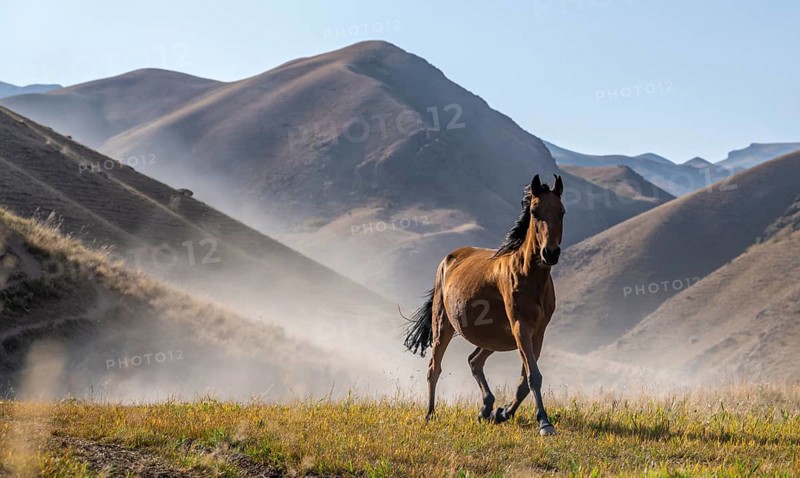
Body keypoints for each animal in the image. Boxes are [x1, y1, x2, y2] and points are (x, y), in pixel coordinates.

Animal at [403, 174, 565, 436]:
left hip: (495, 337)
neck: (529, 276)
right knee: (434, 368)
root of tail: (448, 259)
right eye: (534, 211)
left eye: (562, 212)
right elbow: (533, 376)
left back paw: (487, 408)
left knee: (474, 361)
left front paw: (503, 413)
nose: (550, 253)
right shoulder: (521, 327)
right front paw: (544, 422)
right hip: (444, 326)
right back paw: (430, 414)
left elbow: (525, 380)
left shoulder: (537, 334)